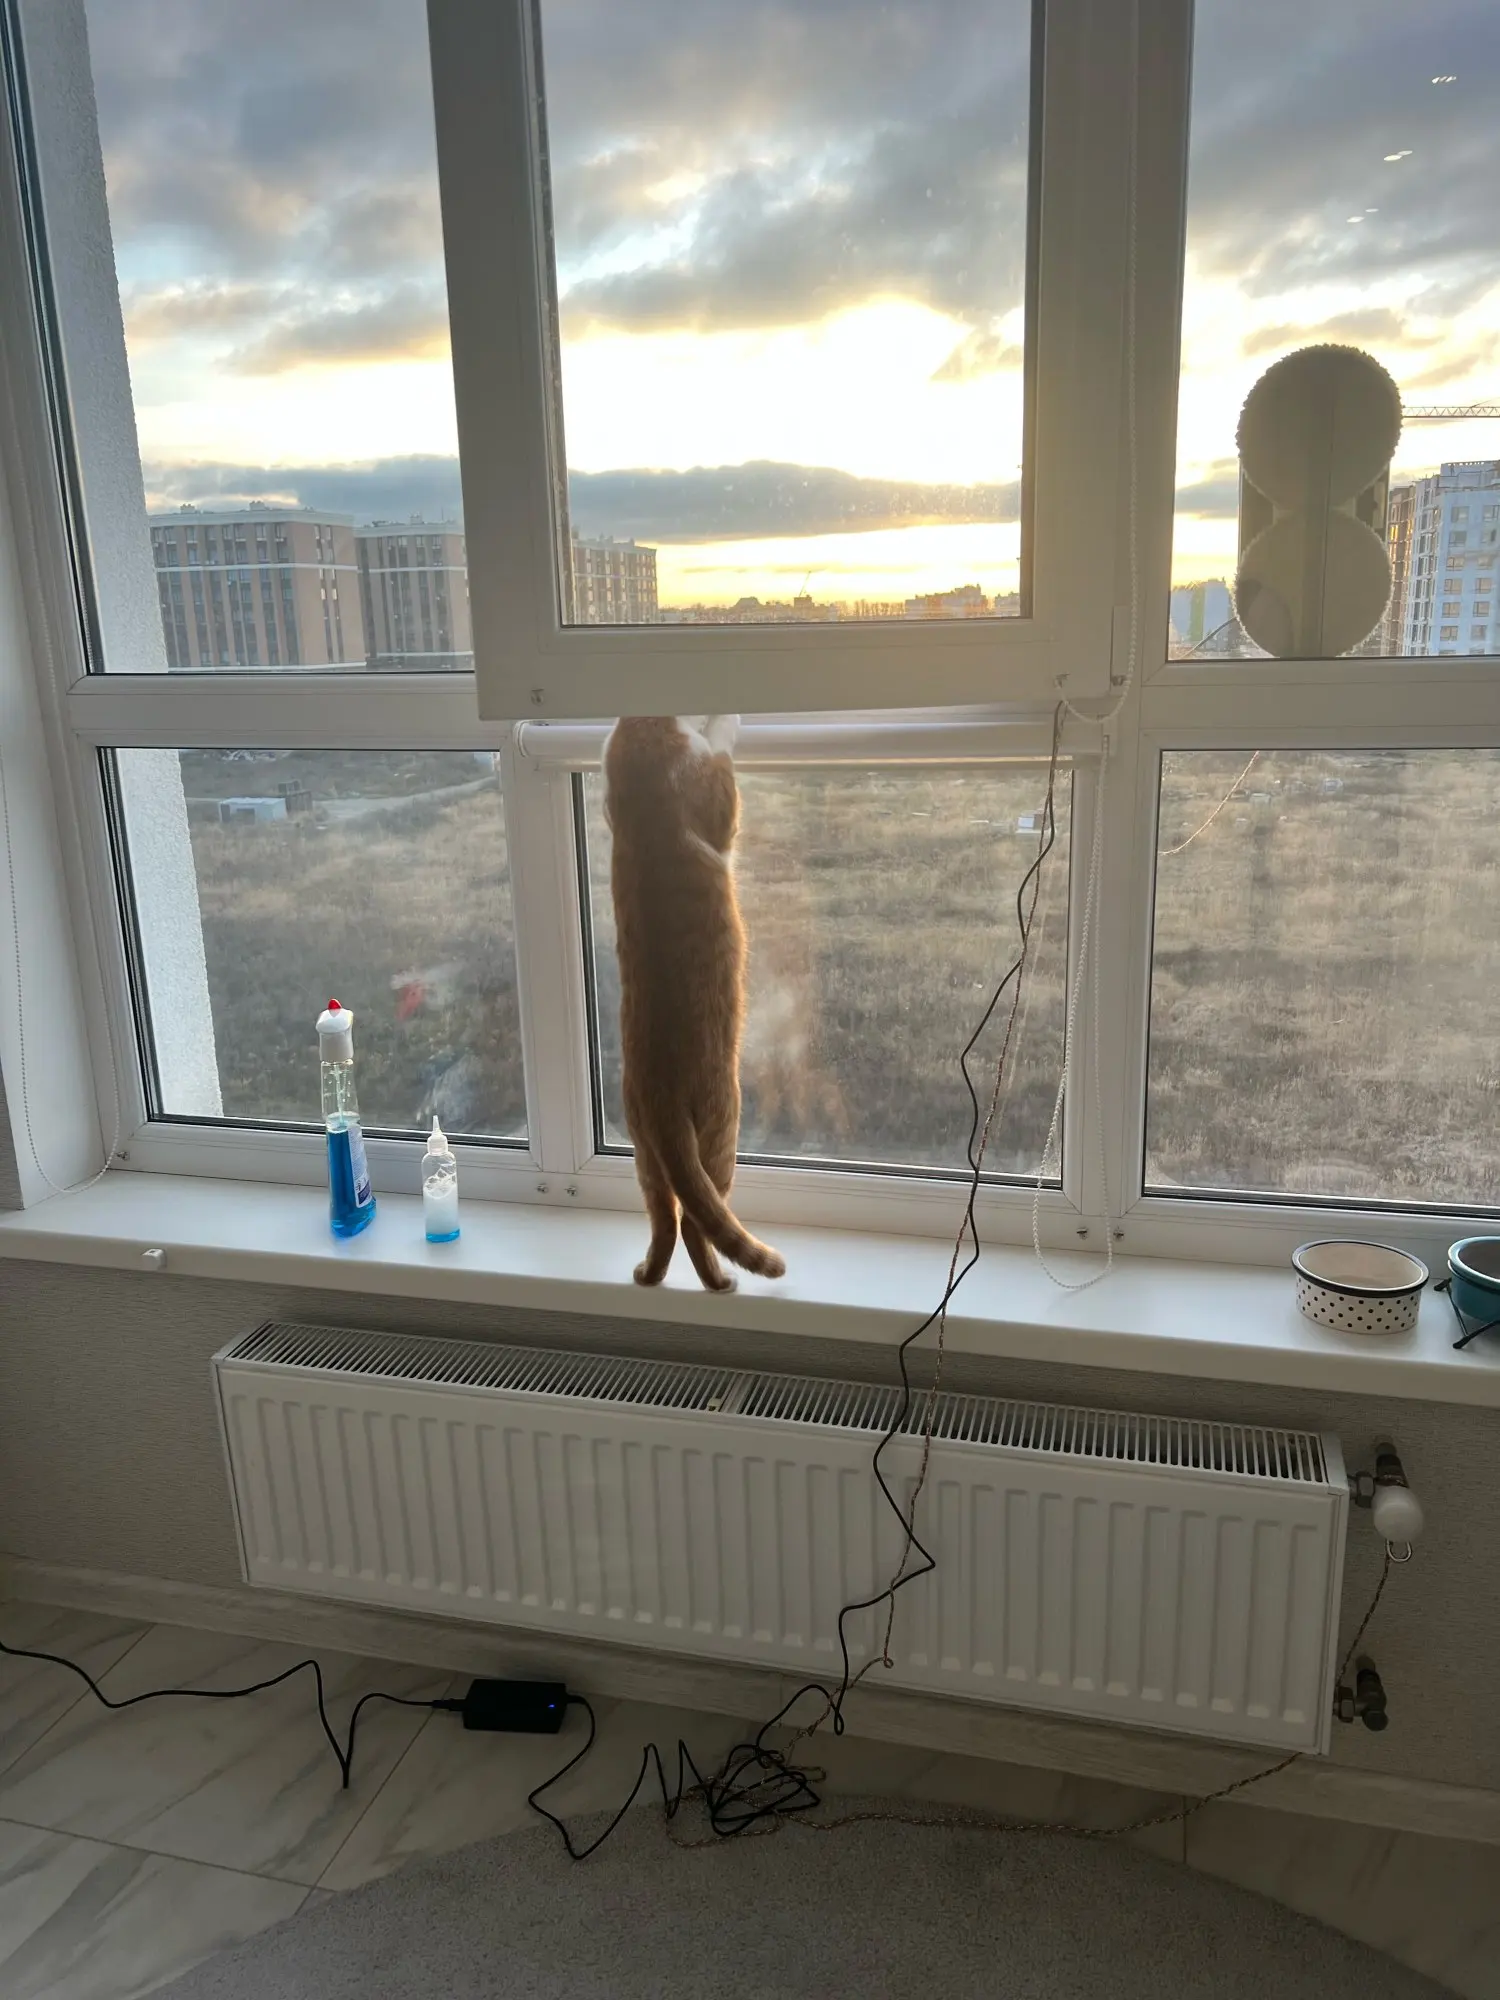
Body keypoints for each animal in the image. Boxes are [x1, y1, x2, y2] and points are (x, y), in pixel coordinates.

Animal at [603, 714, 786, 1292]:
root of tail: (660, 1092)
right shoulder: (715, 794)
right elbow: (723, 763)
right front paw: (726, 722)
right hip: (723, 1128)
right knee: (697, 1223)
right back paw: (721, 1281)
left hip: (644, 1155)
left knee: (665, 1218)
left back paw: (649, 1275)